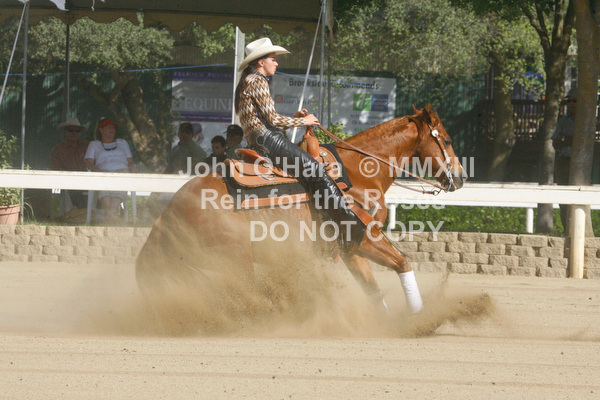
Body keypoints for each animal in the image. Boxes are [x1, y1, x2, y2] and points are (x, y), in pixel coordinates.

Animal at [135, 104, 467, 320]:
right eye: (448, 140)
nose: (461, 177)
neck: (357, 174)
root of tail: (168, 213)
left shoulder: (350, 247)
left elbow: (372, 287)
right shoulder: (366, 237)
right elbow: (402, 264)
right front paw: (421, 320)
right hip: (236, 259)